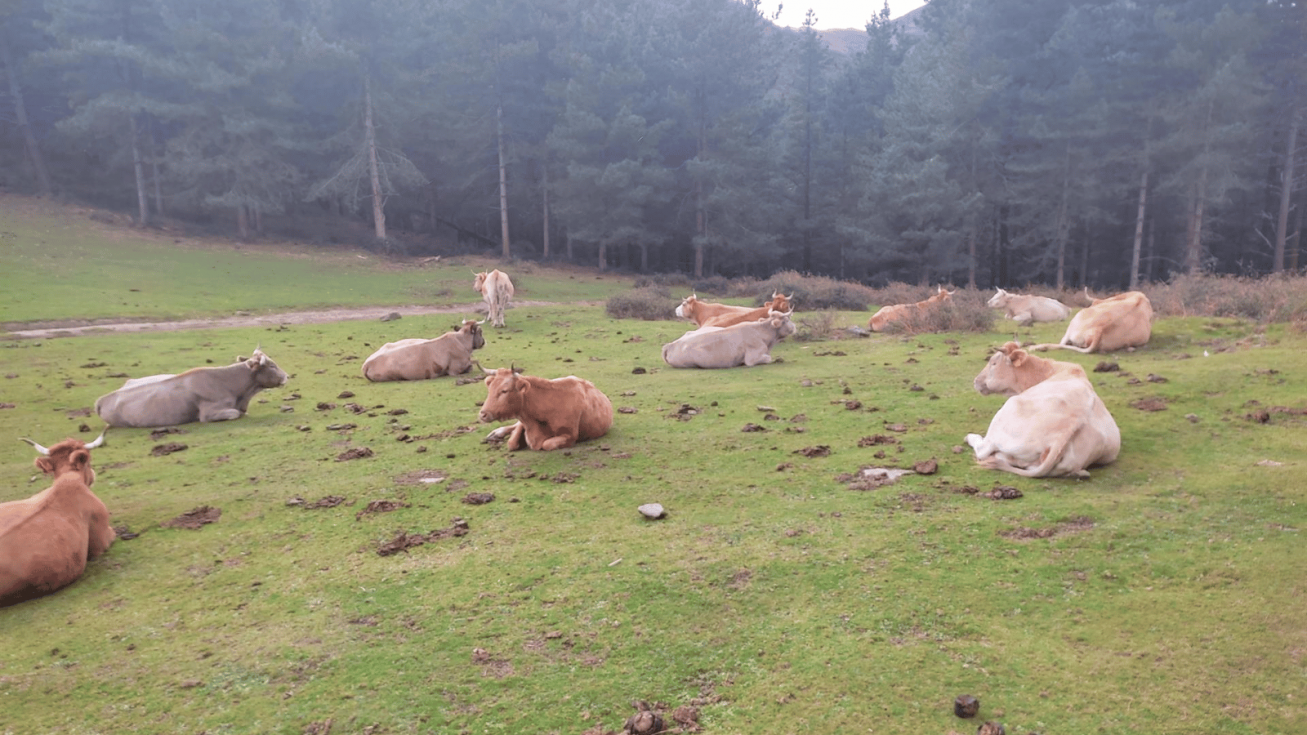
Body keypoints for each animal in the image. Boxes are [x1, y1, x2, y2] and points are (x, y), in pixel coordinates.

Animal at [478, 367, 614, 451]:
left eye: (504, 391)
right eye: (490, 389)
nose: (482, 414)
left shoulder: (570, 435)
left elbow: (547, 443)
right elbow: (512, 442)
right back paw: (496, 433)